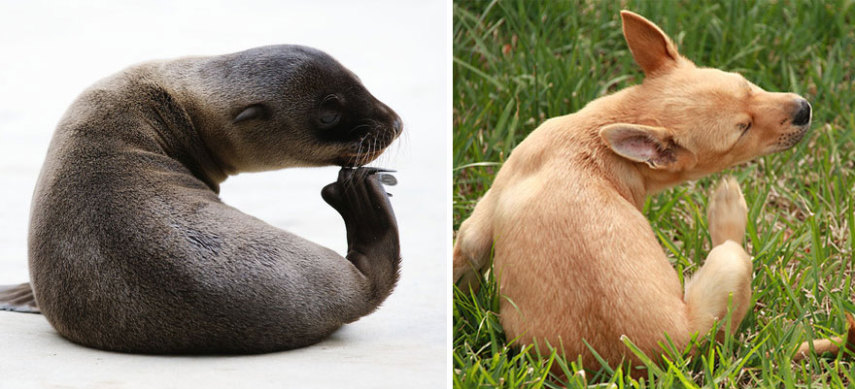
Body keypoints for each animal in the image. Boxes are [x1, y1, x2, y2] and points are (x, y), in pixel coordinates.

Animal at [452, 10, 812, 368]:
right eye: (743, 130)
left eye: (747, 85)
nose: (805, 109)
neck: (596, 136)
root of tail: (667, 355)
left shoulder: (478, 225)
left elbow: (464, 260)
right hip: (730, 266)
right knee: (731, 258)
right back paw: (727, 210)